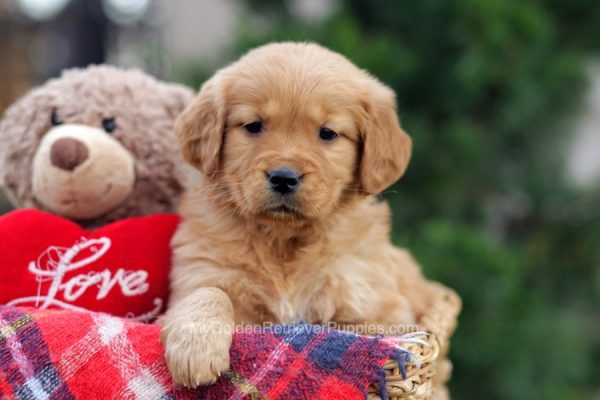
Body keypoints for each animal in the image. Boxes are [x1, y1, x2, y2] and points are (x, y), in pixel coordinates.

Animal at [162, 43, 442, 388]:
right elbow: (209, 291)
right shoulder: (201, 270)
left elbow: (359, 333)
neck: (284, 241)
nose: (284, 178)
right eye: (253, 126)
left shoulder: (377, 309)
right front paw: (196, 348)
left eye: (328, 133)